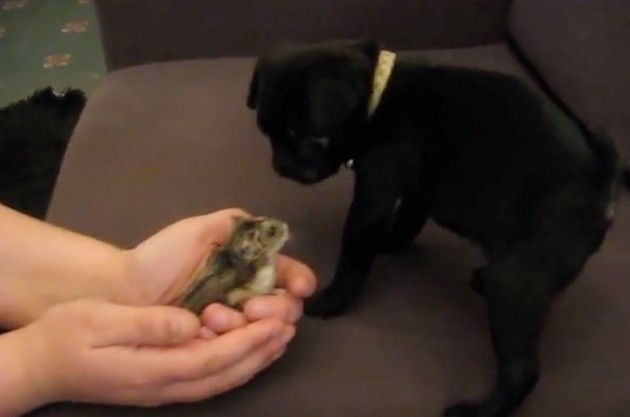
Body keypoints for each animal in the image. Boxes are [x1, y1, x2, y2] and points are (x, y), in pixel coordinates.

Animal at [247, 39, 630, 416]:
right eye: (269, 136)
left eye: (312, 139)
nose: (281, 165)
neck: (378, 96)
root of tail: (602, 184)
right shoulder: (420, 191)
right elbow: (406, 223)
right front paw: (389, 244)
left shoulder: (377, 187)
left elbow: (356, 248)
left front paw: (332, 300)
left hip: (516, 283)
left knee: (521, 369)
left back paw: (479, 411)